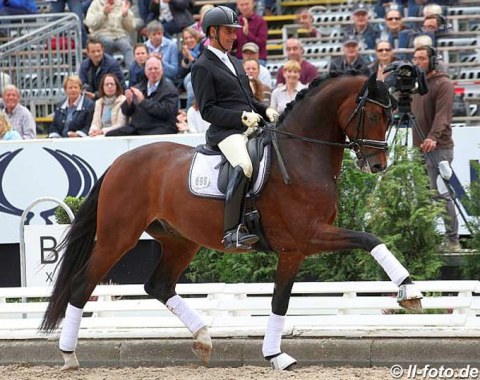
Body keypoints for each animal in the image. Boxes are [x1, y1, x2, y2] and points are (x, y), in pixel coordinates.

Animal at [41, 72, 424, 372]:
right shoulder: (309, 236)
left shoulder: (294, 249)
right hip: (118, 237)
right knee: (82, 284)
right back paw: (69, 355)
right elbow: (370, 239)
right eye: (373, 114)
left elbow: (280, 301)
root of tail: (120, 161)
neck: (302, 155)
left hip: (181, 240)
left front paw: (276, 356)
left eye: (390, 115)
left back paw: (203, 338)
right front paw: (410, 291)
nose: (378, 165)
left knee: (159, 286)